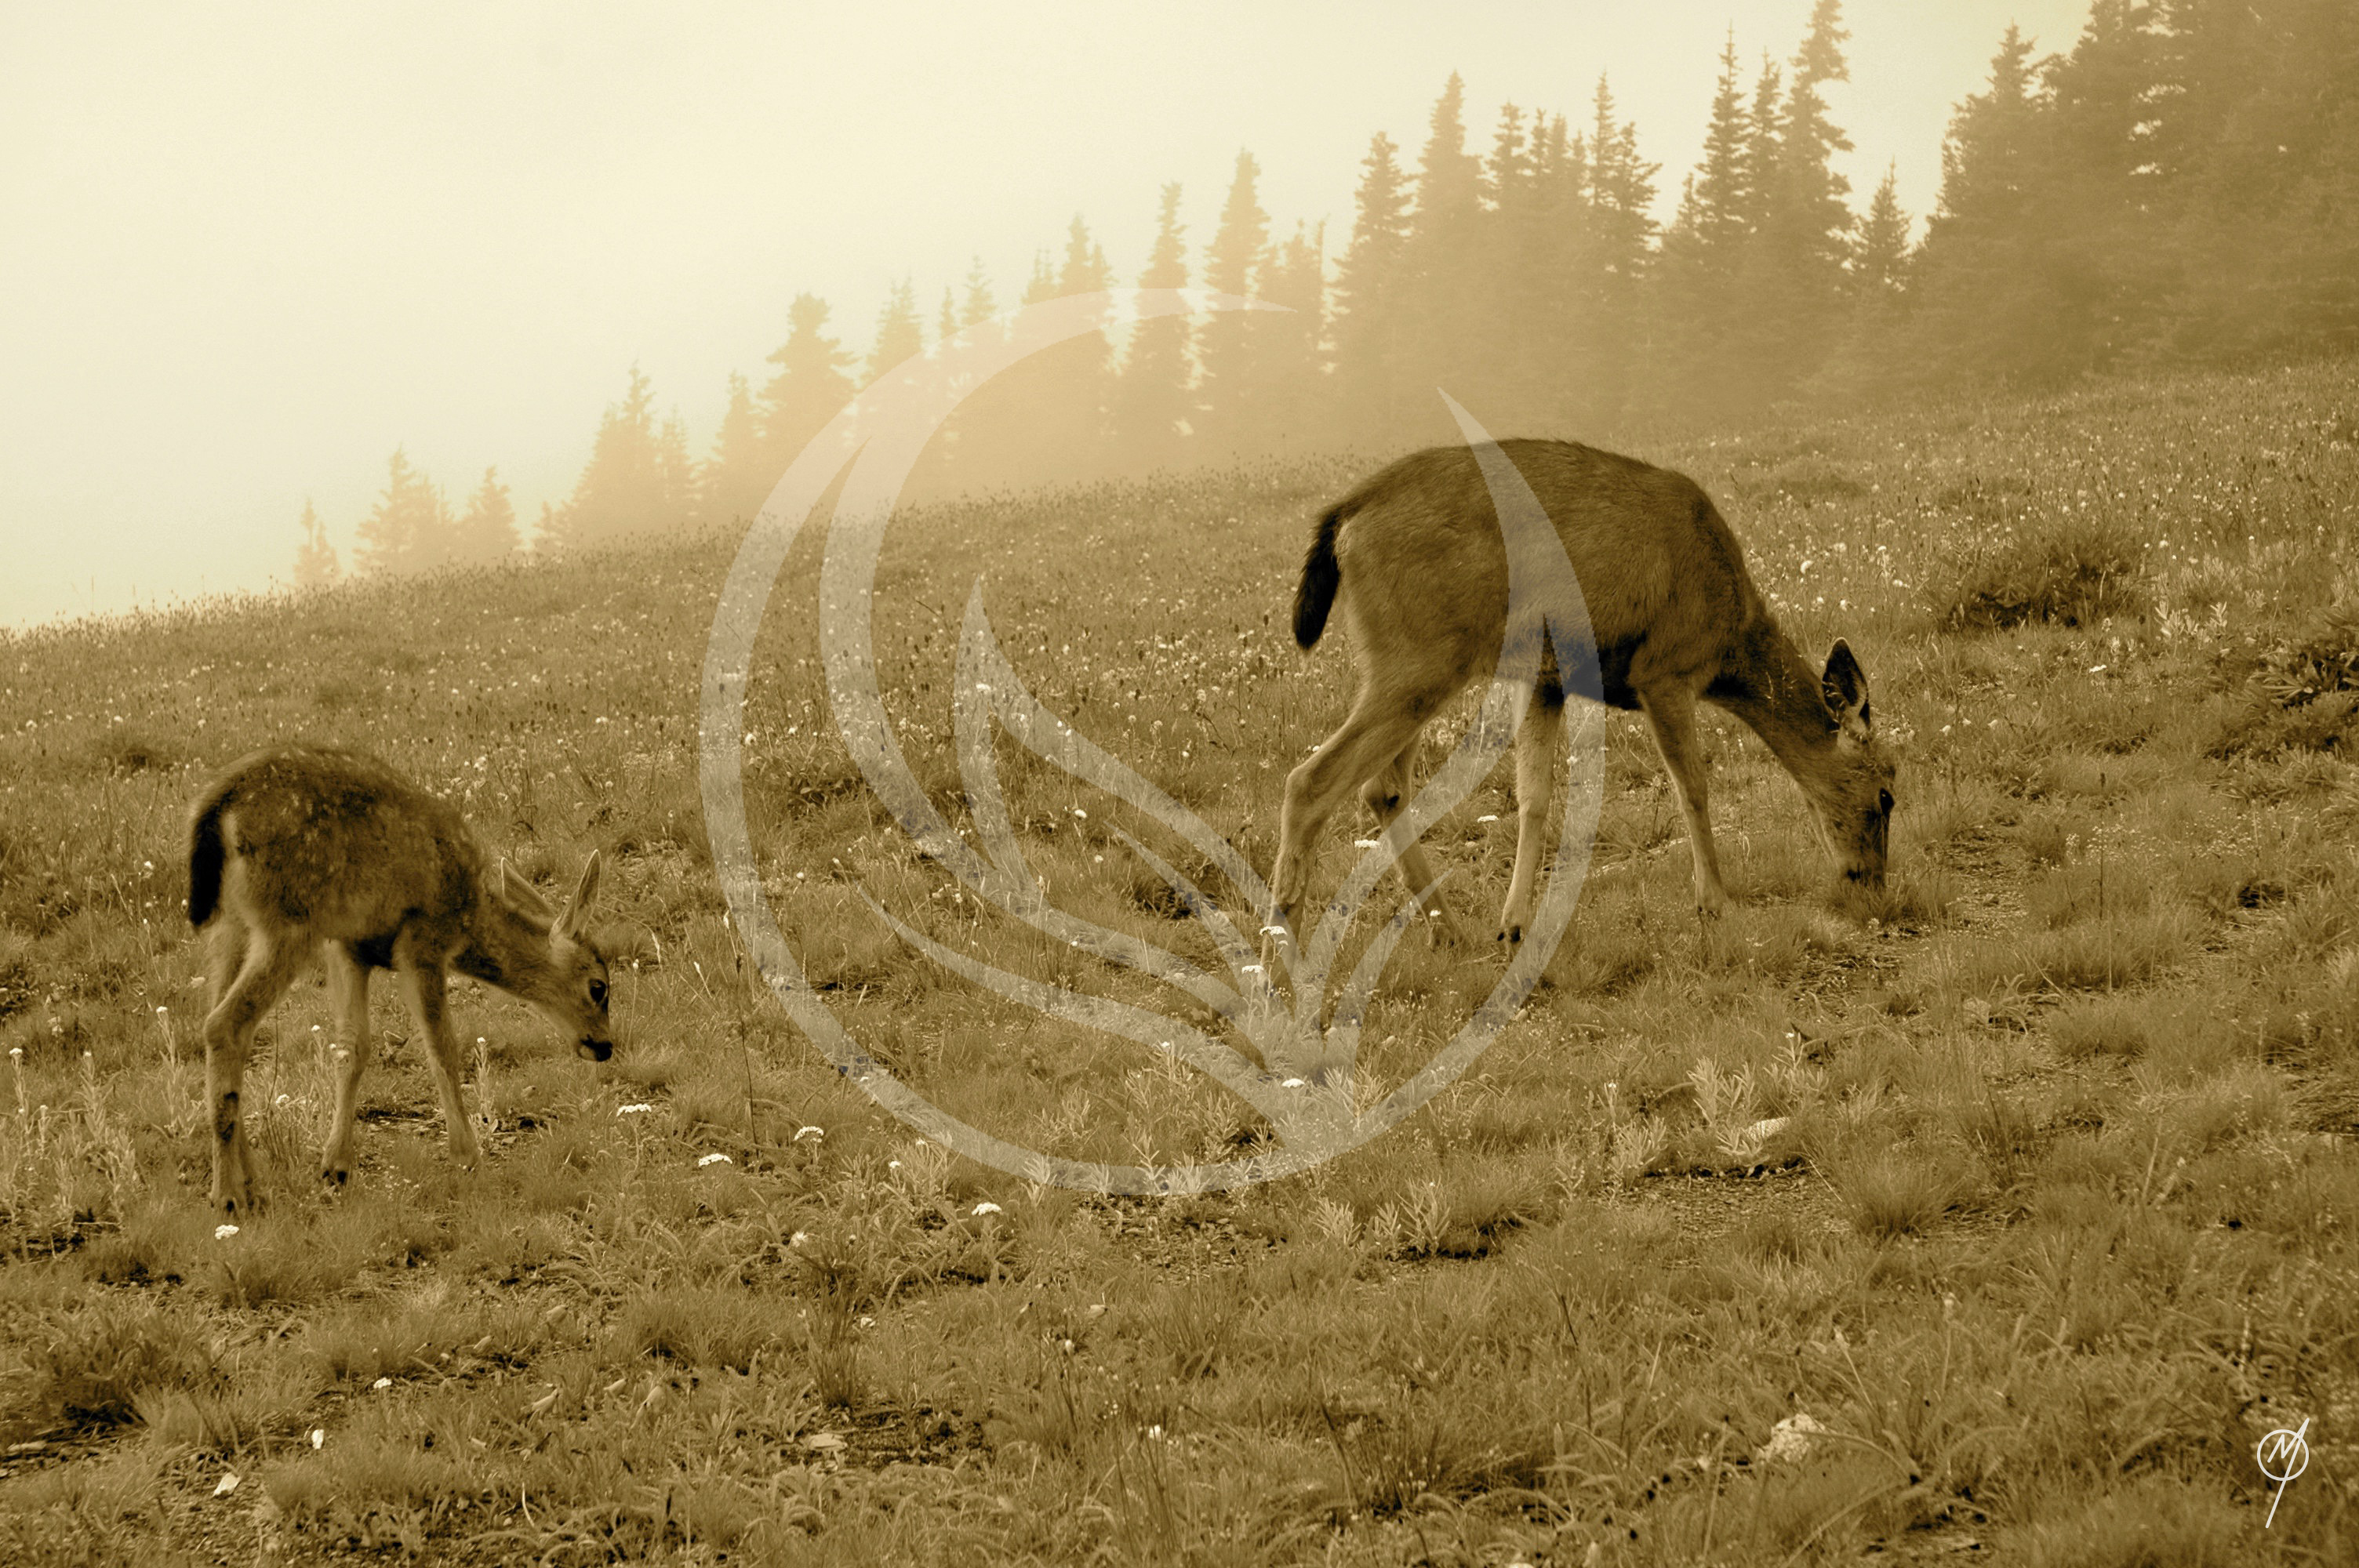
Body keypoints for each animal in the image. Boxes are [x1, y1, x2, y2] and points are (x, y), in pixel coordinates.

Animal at [186, 744, 616, 1218]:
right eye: (599, 987)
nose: (604, 1045)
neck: (469, 917)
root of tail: (218, 805)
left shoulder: (349, 945)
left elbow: (353, 1047)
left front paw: (336, 1166)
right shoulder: (422, 940)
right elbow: (443, 1049)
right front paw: (469, 1158)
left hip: (233, 925)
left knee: (226, 1026)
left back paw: (253, 1186)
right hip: (288, 920)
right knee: (222, 1025)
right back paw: (227, 1195)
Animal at [1271, 437, 1895, 946]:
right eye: (1888, 794)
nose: (1873, 886)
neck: (1729, 646)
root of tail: (1342, 518)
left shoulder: (1545, 680)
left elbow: (1534, 798)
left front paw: (1514, 924)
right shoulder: (1663, 669)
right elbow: (1693, 785)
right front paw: (1715, 903)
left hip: (1413, 660)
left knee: (1383, 787)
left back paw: (1448, 930)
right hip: (1420, 652)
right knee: (1310, 782)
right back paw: (1281, 966)